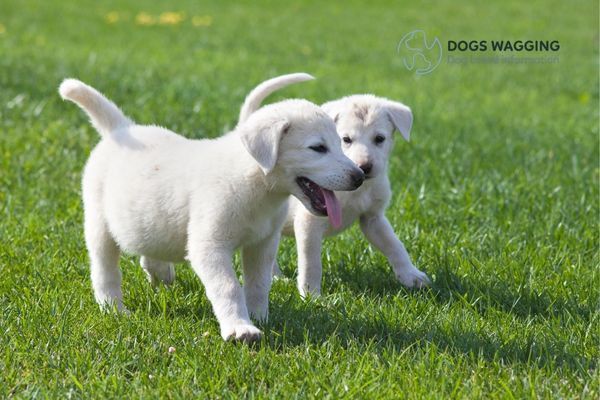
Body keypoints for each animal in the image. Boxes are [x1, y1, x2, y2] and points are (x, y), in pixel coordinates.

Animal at [59, 74, 366, 340]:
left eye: (340, 142)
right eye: (318, 148)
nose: (360, 177)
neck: (255, 183)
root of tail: (121, 129)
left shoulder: (262, 245)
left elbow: (258, 284)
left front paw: (260, 317)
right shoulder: (211, 246)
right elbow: (228, 287)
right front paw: (240, 328)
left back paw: (160, 274)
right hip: (99, 225)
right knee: (105, 271)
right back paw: (114, 308)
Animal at [239, 89, 432, 296]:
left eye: (379, 139)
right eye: (346, 140)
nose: (363, 169)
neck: (358, 191)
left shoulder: (373, 219)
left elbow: (394, 245)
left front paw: (412, 276)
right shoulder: (309, 223)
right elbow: (311, 263)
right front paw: (311, 295)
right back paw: (276, 278)